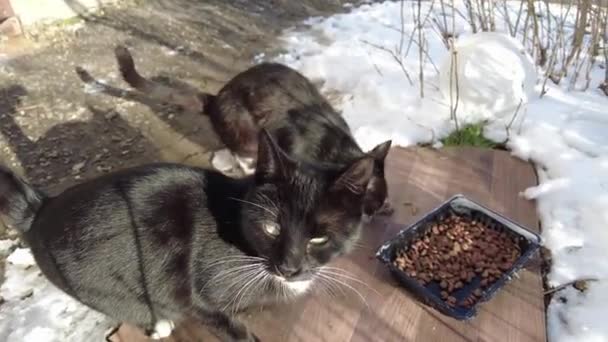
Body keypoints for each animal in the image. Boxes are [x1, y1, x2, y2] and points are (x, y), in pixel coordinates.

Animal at [0, 131, 378, 342]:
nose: (290, 267)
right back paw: (159, 324)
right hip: (98, 285)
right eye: (272, 227)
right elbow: (229, 327)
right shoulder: (199, 297)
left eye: (319, 238)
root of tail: (40, 209)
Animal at [111, 45, 392, 218]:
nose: (374, 214)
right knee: (241, 155)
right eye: (370, 204)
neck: (337, 150)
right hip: (247, 130)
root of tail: (216, 98)